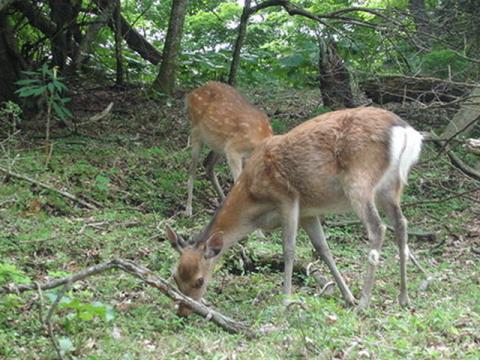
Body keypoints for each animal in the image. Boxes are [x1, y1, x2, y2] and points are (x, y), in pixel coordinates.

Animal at [167, 107, 422, 316]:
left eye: (199, 281)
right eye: (175, 276)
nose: (183, 311)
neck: (253, 200)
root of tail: (406, 132)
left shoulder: (287, 198)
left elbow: (288, 249)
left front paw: (286, 300)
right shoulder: (309, 212)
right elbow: (323, 249)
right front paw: (347, 296)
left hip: (359, 181)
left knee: (378, 228)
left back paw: (365, 302)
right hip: (391, 188)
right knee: (402, 224)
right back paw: (403, 297)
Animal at [185, 81, 272, 217]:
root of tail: (190, 95)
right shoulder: (233, 149)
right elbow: (238, 183)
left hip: (219, 144)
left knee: (208, 164)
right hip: (196, 132)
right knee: (192, 169)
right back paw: (188, 210)